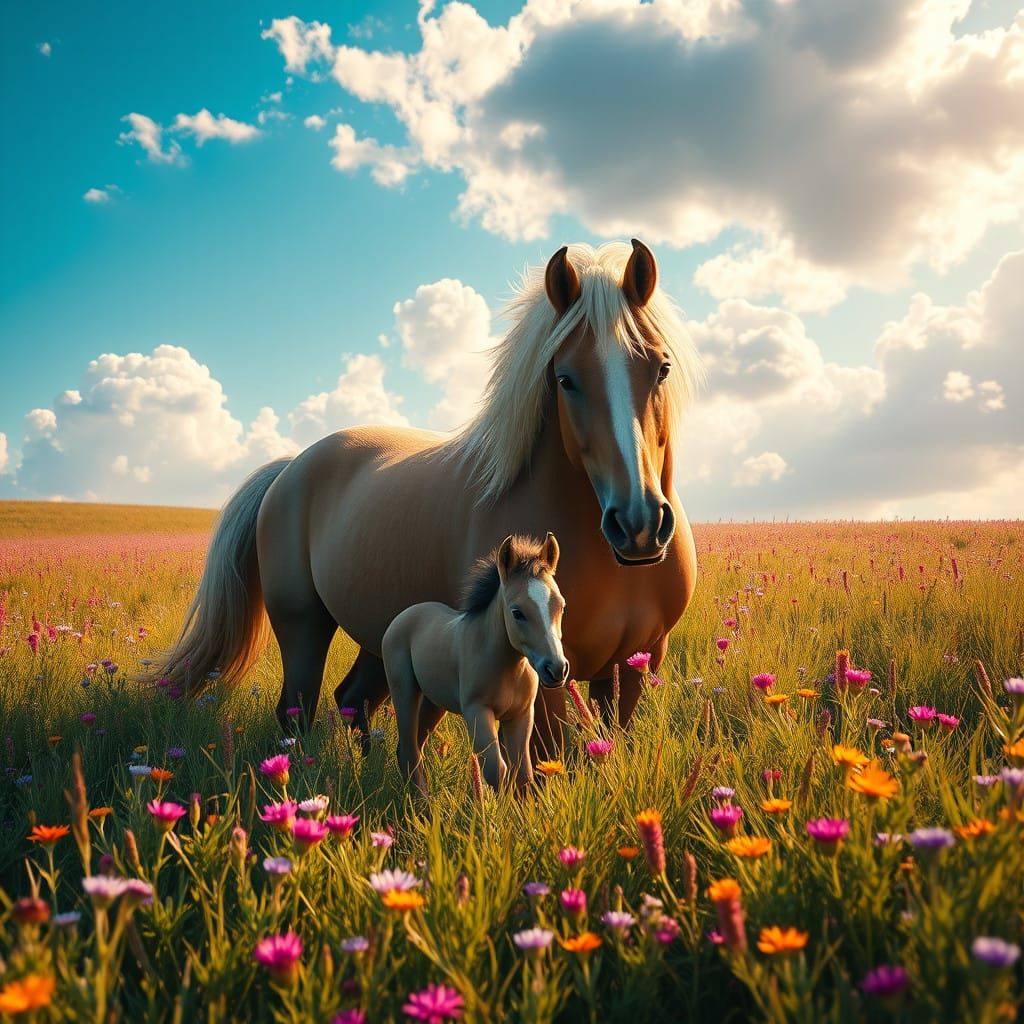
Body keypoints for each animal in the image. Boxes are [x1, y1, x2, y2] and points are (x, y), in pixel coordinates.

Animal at [159, 238, 702, 756]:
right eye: (565, 378)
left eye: (661, 369)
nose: (638, 525)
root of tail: (289, 468)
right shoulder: (541, 669)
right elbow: (548, 759)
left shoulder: (632, 664)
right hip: (302, 627)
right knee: (298, 711)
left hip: (381, 636)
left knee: (355, 700)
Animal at [383, 533, 567, 795]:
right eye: (517, 612)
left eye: (561, 606)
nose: (557, 669)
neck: (508, 667)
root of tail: (404, 615)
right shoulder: (477, 711)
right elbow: (496, 770)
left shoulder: (521, 714)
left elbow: (523, 772)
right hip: (404, 691)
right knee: (409, 750)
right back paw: (422, 802)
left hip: (434, 702)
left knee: (412, 747)